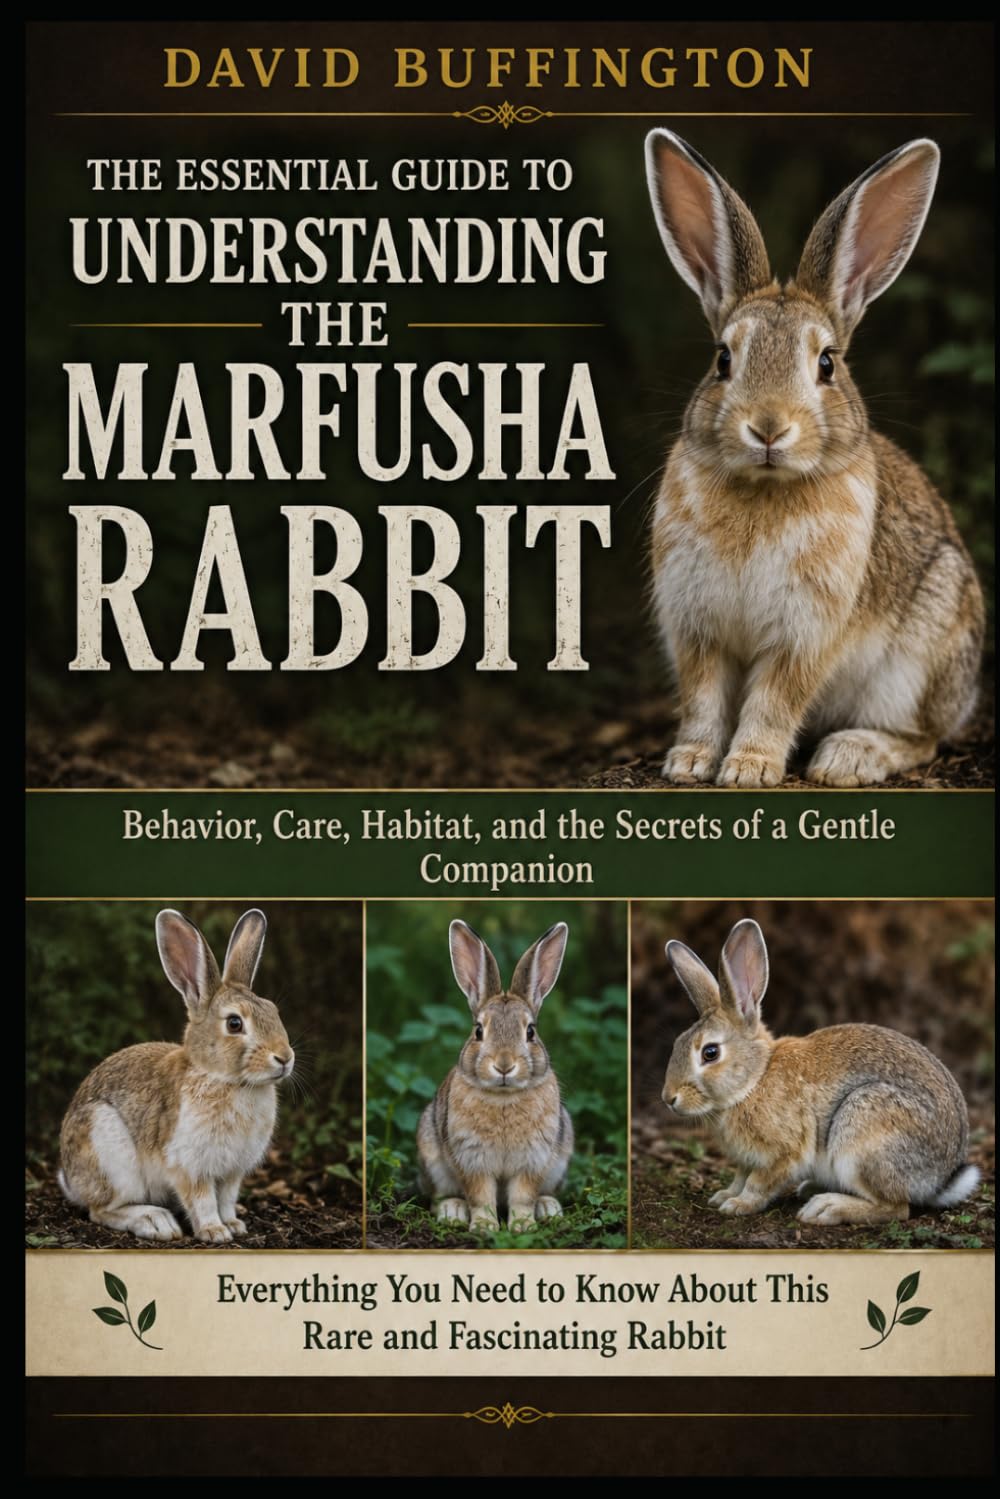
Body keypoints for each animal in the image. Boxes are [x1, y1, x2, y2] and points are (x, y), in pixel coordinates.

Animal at [58, 908, 294, 1242]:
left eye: (273, 1011)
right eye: (234, 1024)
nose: (284, 1058)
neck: (225, 1080)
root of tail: (71, 1178)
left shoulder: (232, 1172)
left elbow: (226, 1198)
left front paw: (233, 1224)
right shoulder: (189, 1165)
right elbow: (203, 1199)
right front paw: (214, 1232)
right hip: (109, 1151)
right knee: (101, 1210)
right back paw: (155, 1222)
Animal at [417, 920, 574, 1232]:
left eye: (530, 1032)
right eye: (479, 1031)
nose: (503, 1065)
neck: (503, 1096)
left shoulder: (532, 1160)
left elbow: (523, 1196)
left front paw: (523, 1226)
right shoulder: (472, 1159)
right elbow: (481, 1195)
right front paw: (485, 1228)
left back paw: (547, 1208)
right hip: (431, 1156)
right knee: (437, 1198)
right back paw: (452, 1212)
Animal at [644, 130, 984, 787]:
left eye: (826, 363)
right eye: (723, 359)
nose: (769, 427)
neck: (764, 487)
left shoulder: (803, 634)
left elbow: (775, 701)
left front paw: (749, 768)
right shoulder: (696, 627)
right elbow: (702, 699)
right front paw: (690, 761)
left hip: (919, 662)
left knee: (923, 738)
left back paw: (849, 757)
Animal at [661, 918, 980, 1225]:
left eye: (710, 1053)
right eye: (676, 1044)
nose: (669, 1098)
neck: (755, 1079)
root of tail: (941, 1179)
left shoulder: (784, 1153)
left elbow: (758, 1183)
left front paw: (738, 1205)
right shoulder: (746, 1160)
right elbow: (740, 1177)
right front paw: (724, 1196)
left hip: (864, 1130)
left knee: (896, 1208)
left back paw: (826, 1208)